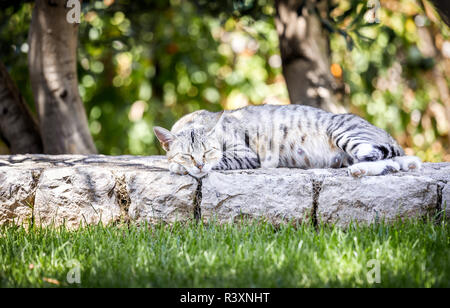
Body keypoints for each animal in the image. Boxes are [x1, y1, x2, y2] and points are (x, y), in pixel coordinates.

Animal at [153, 104, 420, 179]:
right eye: (188, 154)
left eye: (208, 152)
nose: (198, 164)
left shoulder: (246, 154)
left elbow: (223, 159)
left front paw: (179, 167)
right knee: (394, 163)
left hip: (344, 133)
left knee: (377, 157)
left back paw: (359, 169)